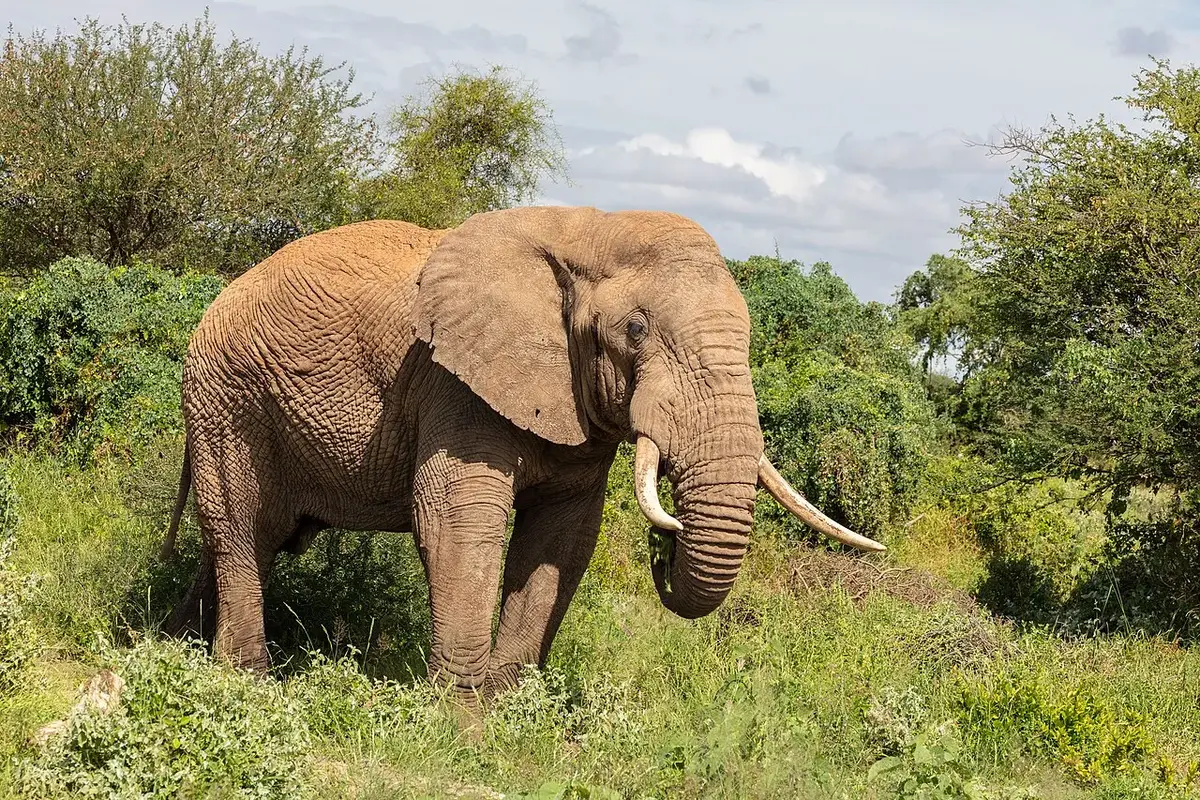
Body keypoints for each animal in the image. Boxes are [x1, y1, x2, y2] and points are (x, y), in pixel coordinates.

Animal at [158, 205, 884, 701]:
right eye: (636, 329)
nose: (666, 540)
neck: (589, 233)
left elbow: (563, 539)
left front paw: (511, 714)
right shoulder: (453, 381)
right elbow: (458, 523)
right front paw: (461, 730)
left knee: (255, 541)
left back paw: (174, 646)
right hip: (224, 399)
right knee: (240, 530)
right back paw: (242, 683)